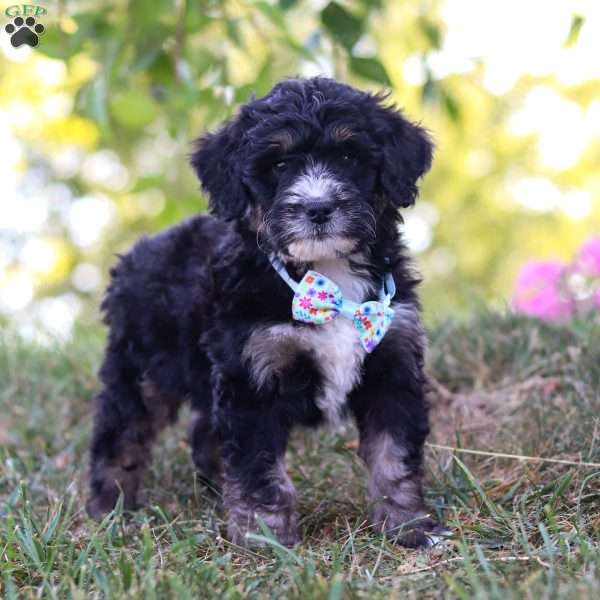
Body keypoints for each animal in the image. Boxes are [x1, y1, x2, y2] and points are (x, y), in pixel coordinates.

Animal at [88, 76, 446, 548]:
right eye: (278, 165)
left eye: (349, 157)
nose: (318, 209)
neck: (325, 274)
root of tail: (135, 255)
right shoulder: (253, 374)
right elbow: (259, 464)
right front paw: (266, 537)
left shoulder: (393, 361)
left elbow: (394, 454)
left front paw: (407, 526)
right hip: (143, 368)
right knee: (120, 433)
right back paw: (109, 507)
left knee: (203, 432)